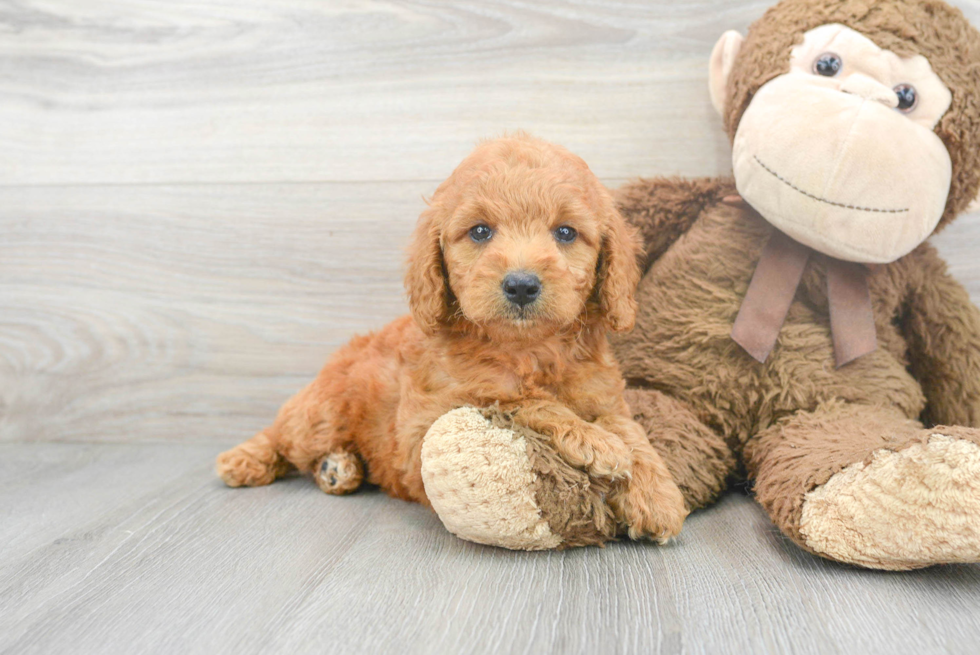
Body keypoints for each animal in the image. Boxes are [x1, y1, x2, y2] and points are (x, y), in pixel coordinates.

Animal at [217, 135, 684, 544]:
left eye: (566, 233)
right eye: (479, 232)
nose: (521, 285)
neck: (528, 349)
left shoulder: (604, 395)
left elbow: (630, 431)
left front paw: (657, 496)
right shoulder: (426, 424)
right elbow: (522, 401)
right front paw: (596, 443)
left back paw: (339, 469)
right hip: (323, 413)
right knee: (284, 433)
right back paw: (245, 459)